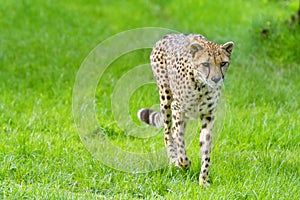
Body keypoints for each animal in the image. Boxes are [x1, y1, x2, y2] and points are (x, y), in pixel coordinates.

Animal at [137, 33, 233, 187]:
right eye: (206, 64)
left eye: (223, 63)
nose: (216, 79)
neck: (201, 86)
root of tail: (167, 35)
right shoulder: (177, 109)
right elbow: (180, 141)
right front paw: (183, 163)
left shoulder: (208, 115)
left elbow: (206, 149)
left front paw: (203, 180)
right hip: (166, 99)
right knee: (167, 133)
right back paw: (173, 162)